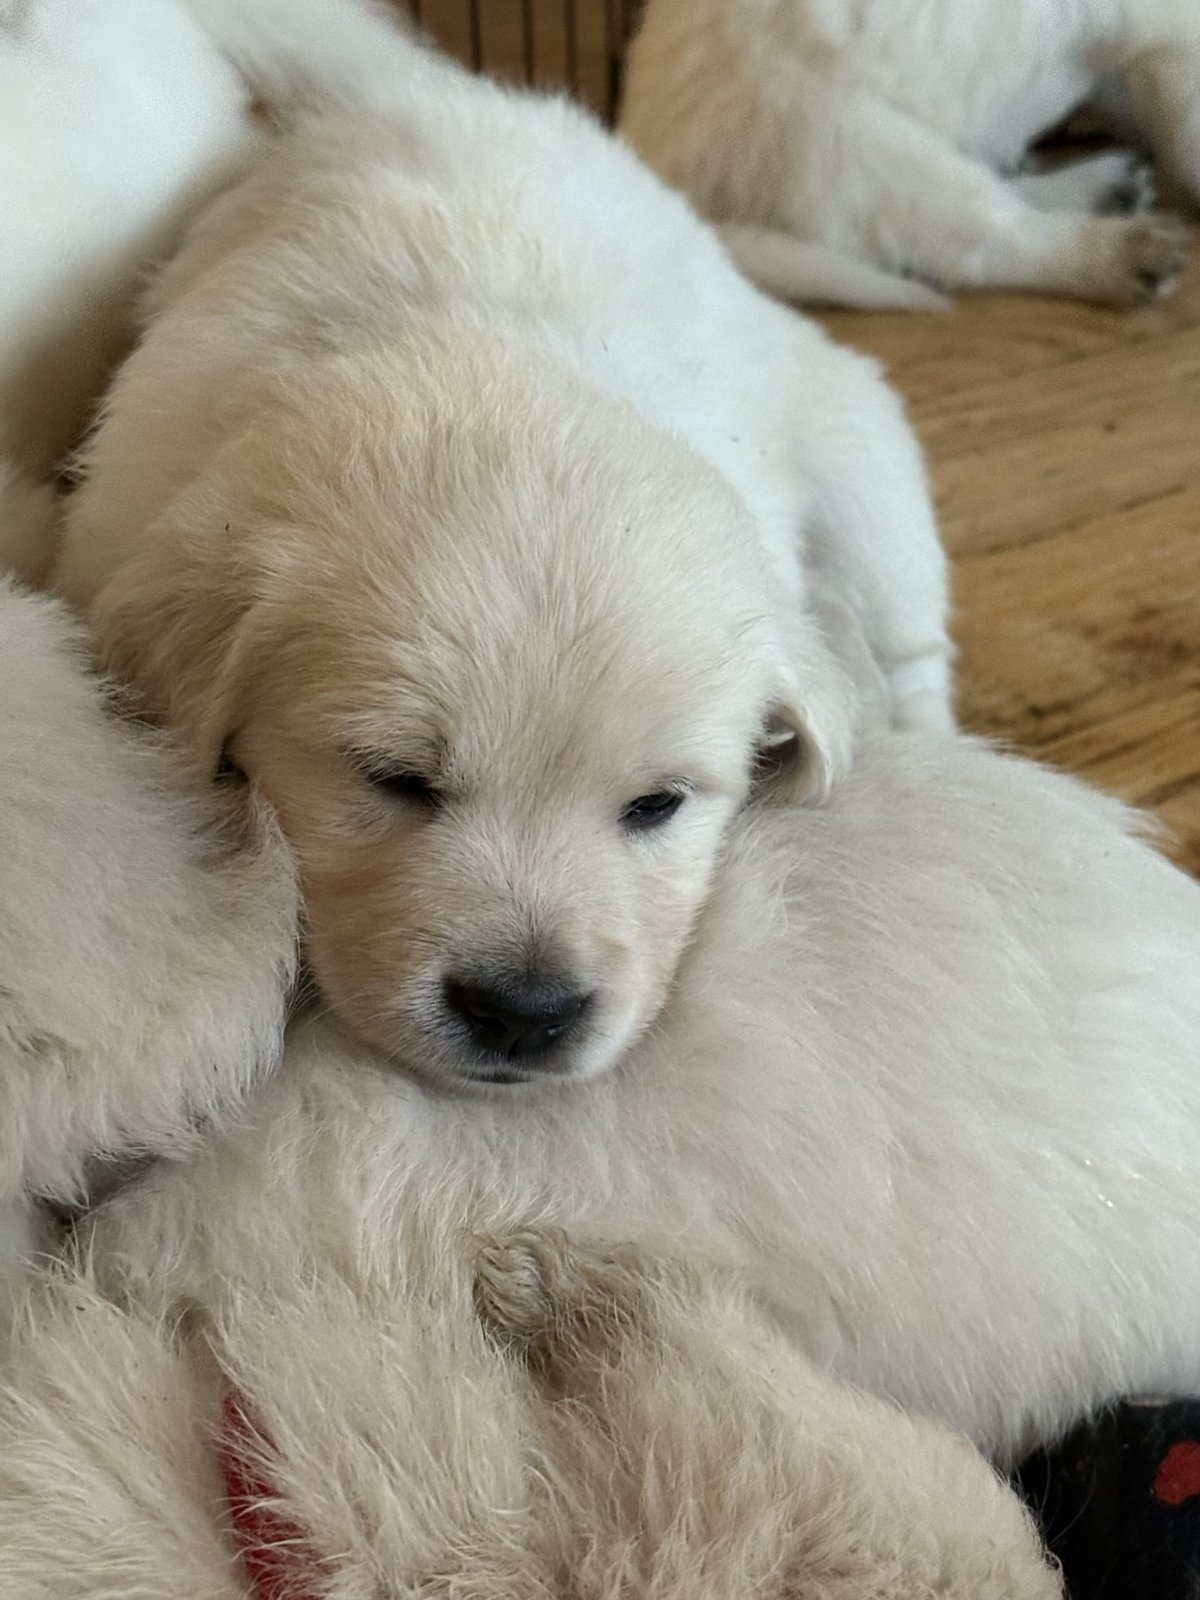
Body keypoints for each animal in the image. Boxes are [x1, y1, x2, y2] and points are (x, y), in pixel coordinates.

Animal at [53, 0, 954, 1091]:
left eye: (657, 805)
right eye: (393, 778)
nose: (526, 1013)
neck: (478, 357)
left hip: (861, 454)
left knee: (912, 644)